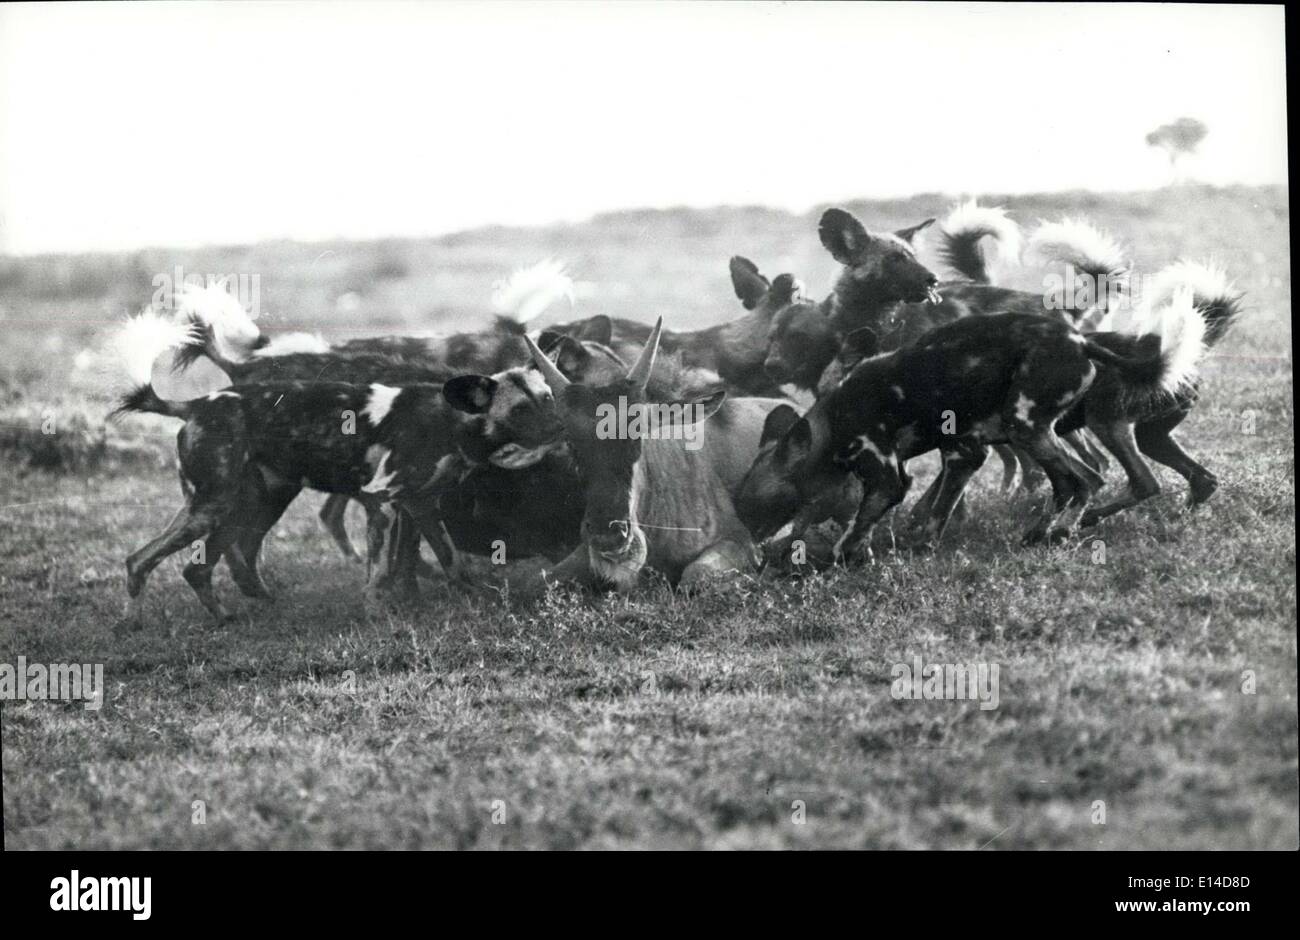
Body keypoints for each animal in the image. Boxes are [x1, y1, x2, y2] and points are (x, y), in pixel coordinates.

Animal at [738, 287, 1211, 561]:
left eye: (759, 502)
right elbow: (933, 516)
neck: (833, 418)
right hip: (1040, 432)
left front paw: (842, 560)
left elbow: (856, 529)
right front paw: (920, 548)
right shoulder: (963, 455)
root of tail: (1080, 340)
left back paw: (1056, 533)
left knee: (1083, 481)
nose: (749, 538)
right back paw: (1046, 532)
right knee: (1079, 482)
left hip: (1029, 427)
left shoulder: (890, 478)